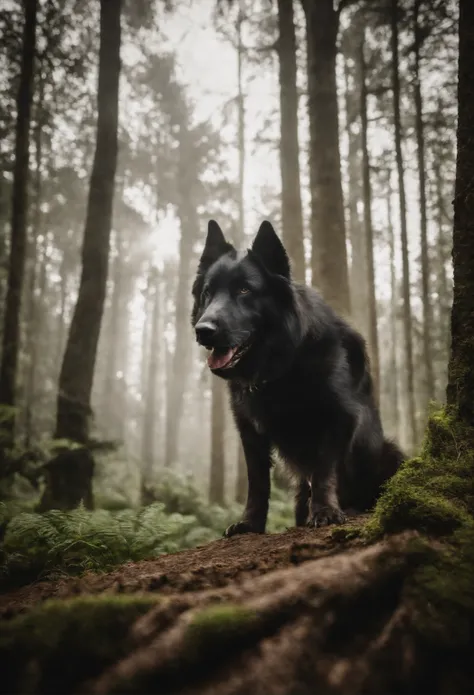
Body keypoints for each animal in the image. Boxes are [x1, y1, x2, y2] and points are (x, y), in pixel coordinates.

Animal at [192, 220, 404, 536]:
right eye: (207, 292)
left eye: (244, 290)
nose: (202, 330)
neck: (281, 369)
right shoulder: (250, 432)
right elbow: (258, 482)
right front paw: (250, 523)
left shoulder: (338, 417)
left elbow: (324, 470)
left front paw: (325, 511)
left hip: (390, 454)